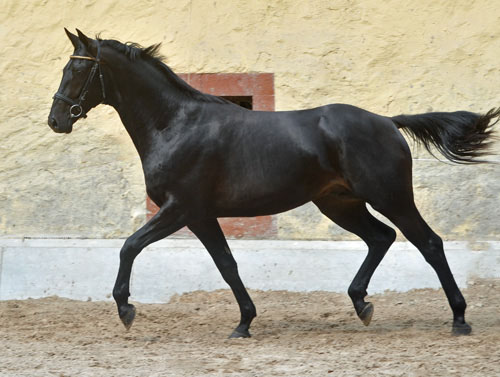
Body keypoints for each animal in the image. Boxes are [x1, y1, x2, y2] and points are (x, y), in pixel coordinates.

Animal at [47, 27, 496, 336]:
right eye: (67, 67)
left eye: (79, 69)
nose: (56, 120)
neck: (175, 125)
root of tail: (388, 121)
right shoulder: (201, 215)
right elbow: (226, 264)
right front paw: (244, 323)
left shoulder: (181, 208)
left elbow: (130, 246)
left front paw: (126, 310)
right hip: (339, 203)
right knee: (381, 237)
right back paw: (362, 304)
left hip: (390, 196)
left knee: (429, 243)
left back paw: (459, 318)